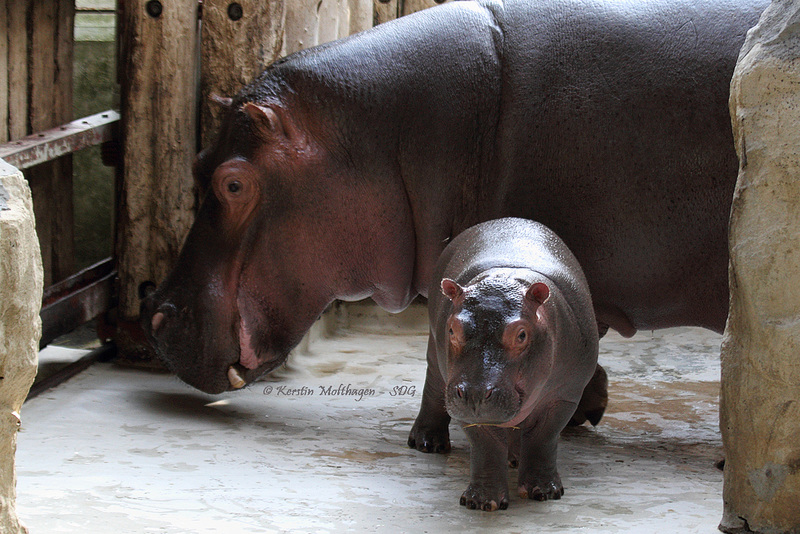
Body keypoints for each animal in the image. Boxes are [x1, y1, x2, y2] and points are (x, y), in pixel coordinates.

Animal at [422, 220, 596, 512]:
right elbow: (486, 447)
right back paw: (426, 444)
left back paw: (515, 458)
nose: (475, 394)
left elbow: (543, 438)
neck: (506, 280)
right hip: (436, 361)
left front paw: (545, 493)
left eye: (522, 334)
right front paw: (481, 502)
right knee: (433, 390)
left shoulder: (564, 396)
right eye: (453, 329)